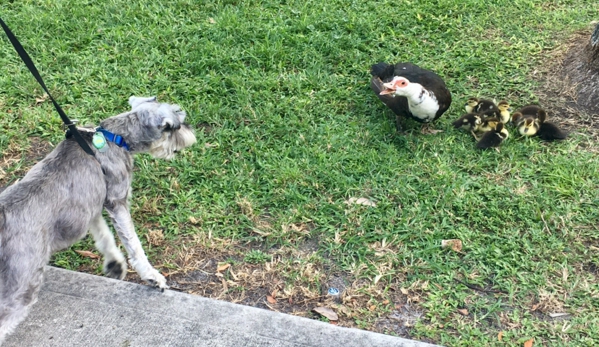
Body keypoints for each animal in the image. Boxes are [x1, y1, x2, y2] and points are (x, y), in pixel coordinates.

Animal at [0, 96, 198, 346]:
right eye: (176, 126)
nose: (191, 133)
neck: (118, 137)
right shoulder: (117, 200)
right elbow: (133, 243)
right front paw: (152, 276)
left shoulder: (91, 206)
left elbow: (104, 235)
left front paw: (115, 264)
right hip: (22, 285)